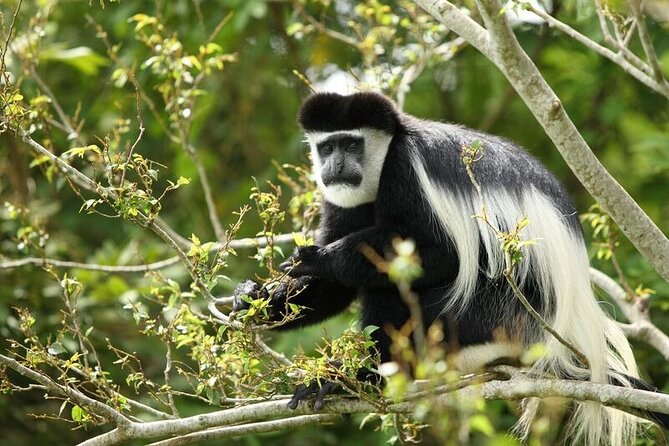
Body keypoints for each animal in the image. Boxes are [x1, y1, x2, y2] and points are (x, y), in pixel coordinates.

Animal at [233, 91, 665, 444]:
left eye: (352, 144)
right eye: (327, 147)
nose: (335, 166)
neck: (384, 157)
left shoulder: (405, 170)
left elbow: (444, 255)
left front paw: (323, 258)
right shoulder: (342, 199)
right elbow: (331, 287)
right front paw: (254, 300)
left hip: (490, 315)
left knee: (395, 289)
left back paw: (359, 377)